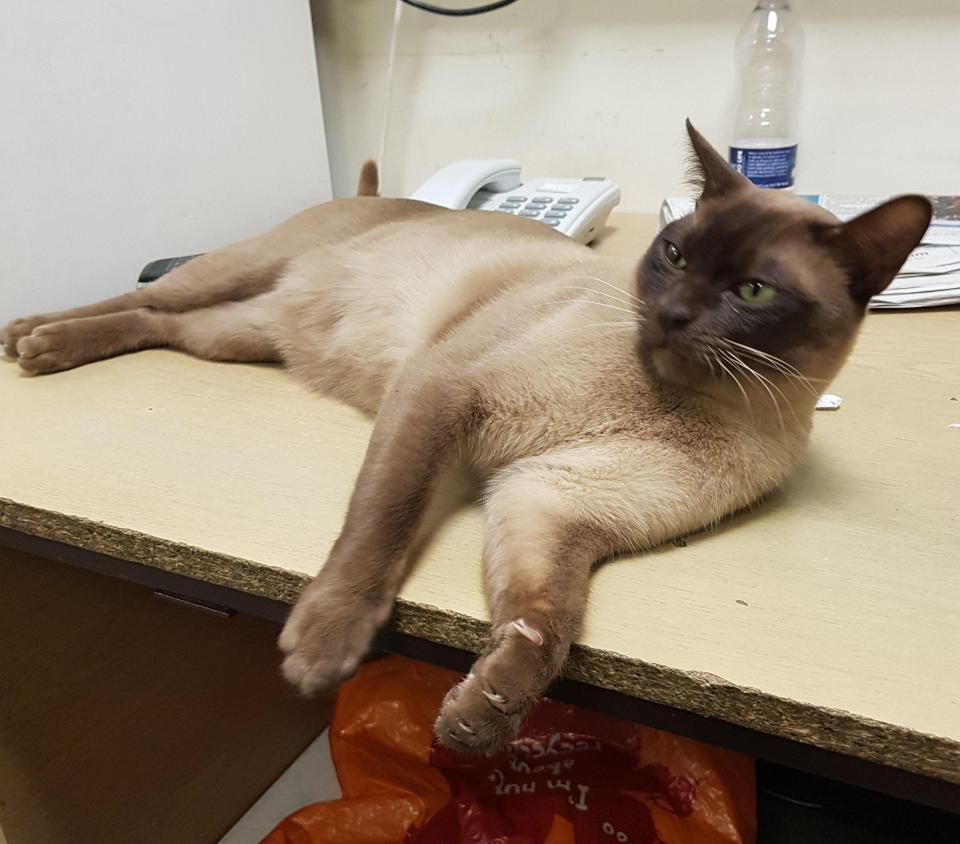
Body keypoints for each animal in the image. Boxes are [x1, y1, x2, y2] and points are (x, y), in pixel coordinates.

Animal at [0, 123, 928, 752]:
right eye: (672, 253)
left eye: (752, 291)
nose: (669, 313)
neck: (674, 398)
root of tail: (371, 190)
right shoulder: (447, 394)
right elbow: (379, 528)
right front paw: (324, 650)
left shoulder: (549, 501)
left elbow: (544, 624)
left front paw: (482, 716)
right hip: (238, 276)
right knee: (140, 297)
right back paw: (32, 339)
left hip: (239, 336)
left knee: (158, 324)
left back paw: (45, 345)